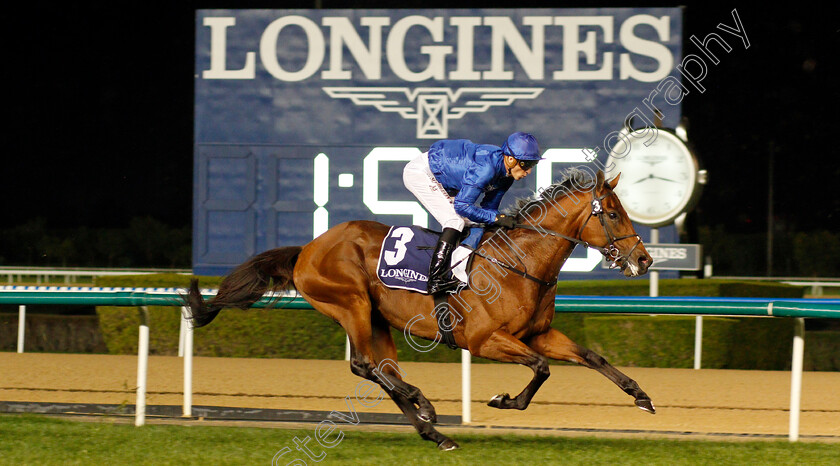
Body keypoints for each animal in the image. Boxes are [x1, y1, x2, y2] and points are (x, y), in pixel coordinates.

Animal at [184, 167, 656, 448]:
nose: (644, 259)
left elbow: (591, 357)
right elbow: (541, 368)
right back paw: (425, 408)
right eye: (612, 213)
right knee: (364, 365)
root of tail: (307, 249)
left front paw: (642, 396)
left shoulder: (538, 334)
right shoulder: (484, 339)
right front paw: (502, 400)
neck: (518, 265)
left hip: (376, 318)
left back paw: (431, 429)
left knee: (383, 368)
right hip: (351, 303)